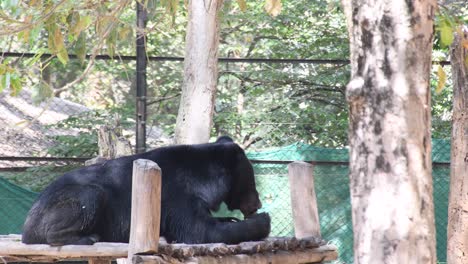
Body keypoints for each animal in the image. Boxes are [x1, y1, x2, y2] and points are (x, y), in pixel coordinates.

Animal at [22, 137, 270, 244]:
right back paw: (87, 237)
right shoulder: (176, 195)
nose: (257, 204)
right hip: (68, 200)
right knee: (87, 198)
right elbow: (200, 231)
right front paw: (262, 221)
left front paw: (231, 219)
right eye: (252, 182)